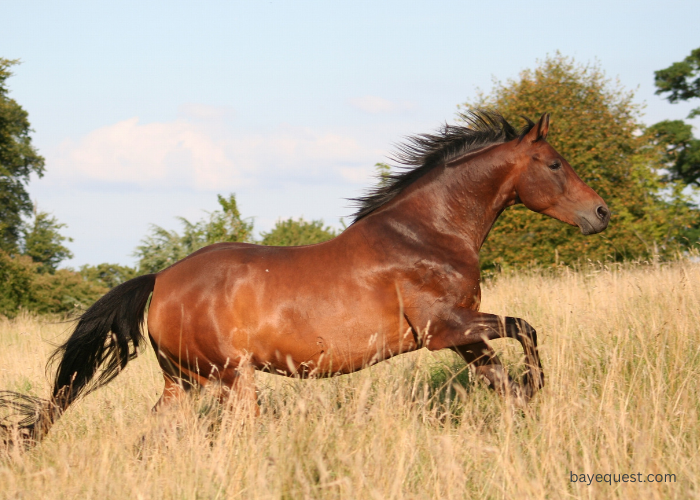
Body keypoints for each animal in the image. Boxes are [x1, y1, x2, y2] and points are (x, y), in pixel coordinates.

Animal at [0, 110, 608, 446]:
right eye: (555, 164)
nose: (600, 213)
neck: (427, 233)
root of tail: (161, 281)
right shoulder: (445, 330)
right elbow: (526, 328)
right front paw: (537, 386)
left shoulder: (462, 337)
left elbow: (502, 377)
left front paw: (526, 405)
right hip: (232, 381)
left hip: (185, 383)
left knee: (150, 437)